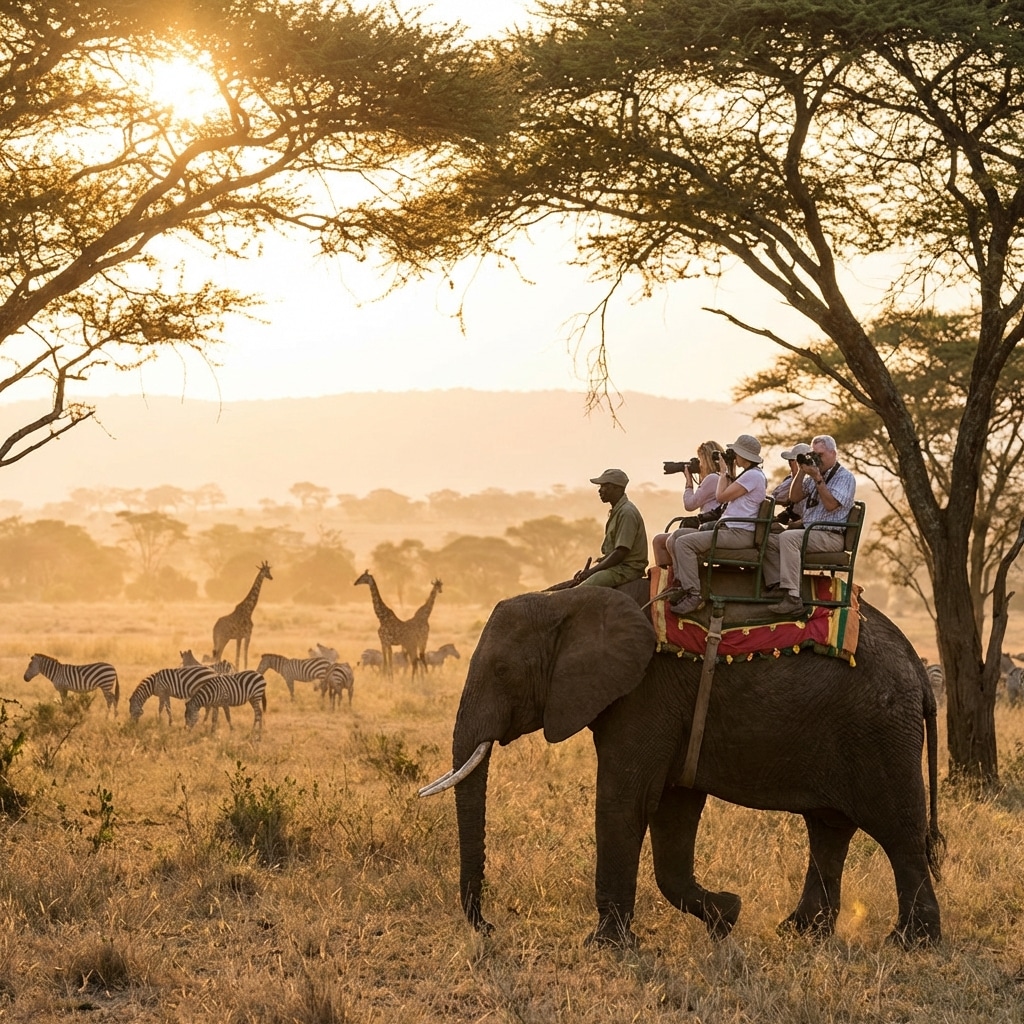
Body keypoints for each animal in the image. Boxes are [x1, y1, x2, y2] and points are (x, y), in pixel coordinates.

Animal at [420, 583, 944, 948]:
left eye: (503, 672)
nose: (488, 926)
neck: (570, 597)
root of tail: (921, 672)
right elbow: (674, 810)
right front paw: (727, 915)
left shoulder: (646, 691)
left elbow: (624, 801)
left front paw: (605, 947)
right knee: (828, 829)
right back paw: (799, 934)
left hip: (880, 730)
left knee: (898, 830)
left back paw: (911, 944)